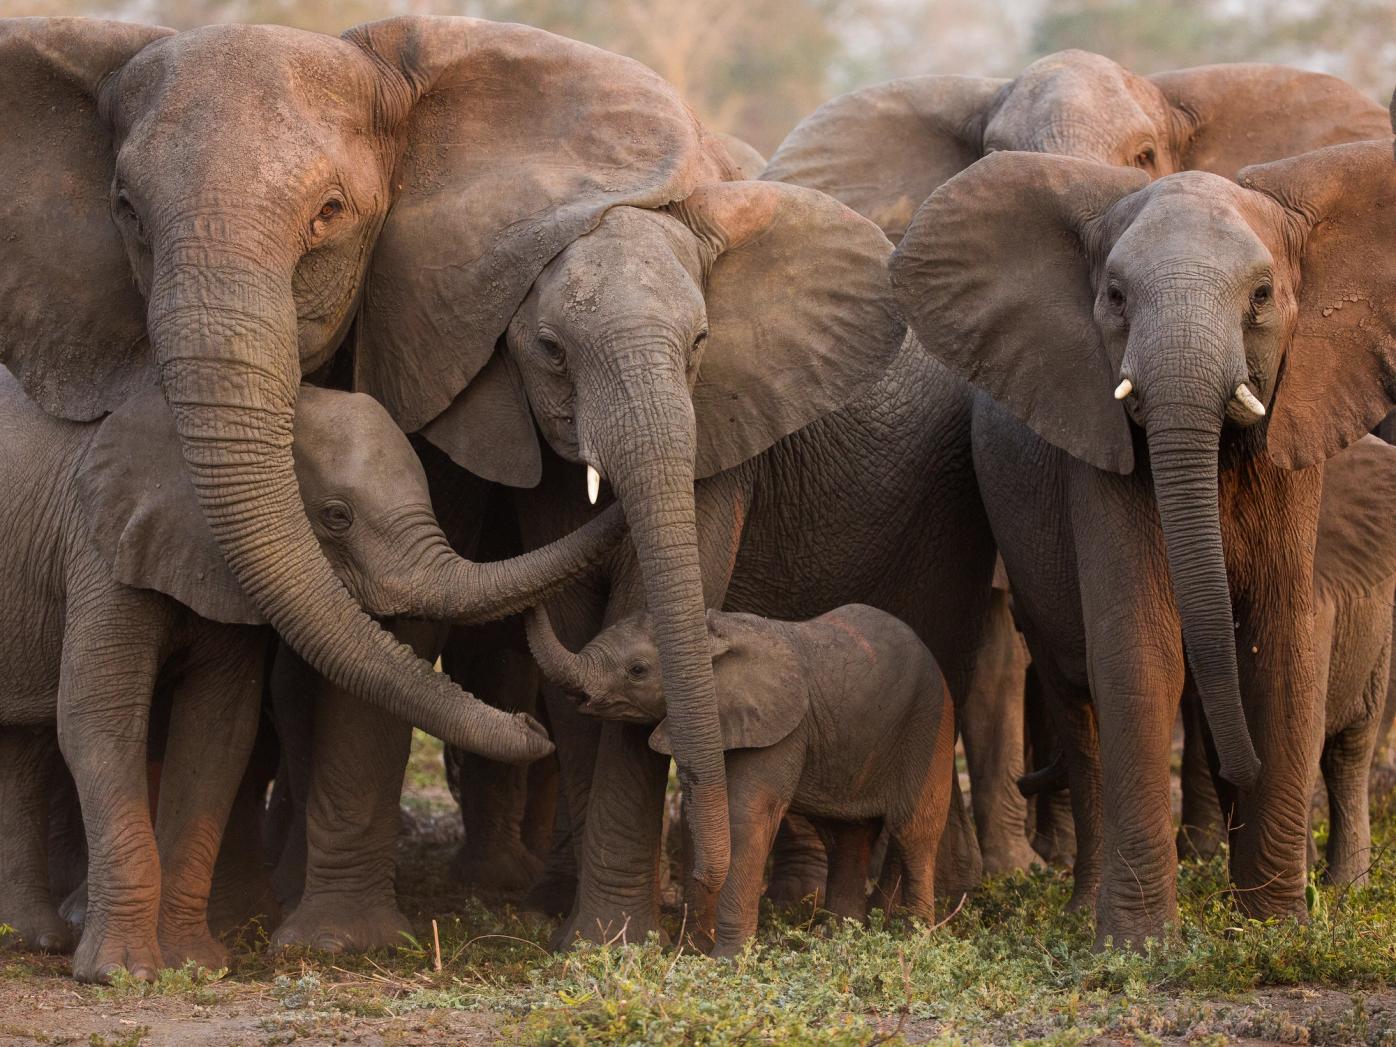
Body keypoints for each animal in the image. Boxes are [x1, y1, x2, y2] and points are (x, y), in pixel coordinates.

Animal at [0, 367, 622, 981]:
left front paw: (194, 966)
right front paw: (122, 973)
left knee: (21, 747)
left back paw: (33, 938)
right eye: (336, 517)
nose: (533, 726)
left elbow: (217, 736)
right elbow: (98, 725)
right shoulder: (98, 556)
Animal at [525, 603, 956, 956]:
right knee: (847, 838)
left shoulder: (781, 728)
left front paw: (726, 961)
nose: (532, 605)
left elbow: (745, 815)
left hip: (930, 724)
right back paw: (839, 939)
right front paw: (693, 952)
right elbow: (704, 815)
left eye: (637, 670)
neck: (715, 634)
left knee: (913, 829)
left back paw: (914, 941)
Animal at [889, 139, 1396, 947]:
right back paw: (1084, 907)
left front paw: (1275, 931)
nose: (1243, 770)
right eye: (1117, 297)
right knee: (1080, 702)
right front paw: (1138, 947)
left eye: (1261, 296)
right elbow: (1138, 646)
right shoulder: (1098, 451)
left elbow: (1281, 645)